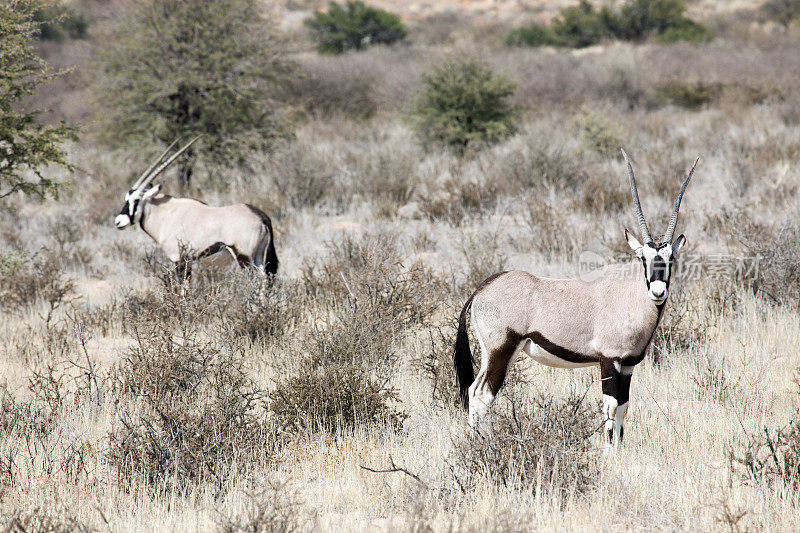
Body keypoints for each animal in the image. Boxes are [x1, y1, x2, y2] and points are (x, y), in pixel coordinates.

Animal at [113, 137, 278, 278]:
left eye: (137, 199)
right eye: (126, 198)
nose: (118, 221)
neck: (165, 214)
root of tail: (261, 217)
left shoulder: (179, 259)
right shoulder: (188, 261)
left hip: (244, 257)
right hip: (258, 256)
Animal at [456, 149, 700, 444]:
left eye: (670, 258)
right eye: (643, 257)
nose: (657, 292)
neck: (630, 296)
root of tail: (481, 289)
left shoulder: (627, 366)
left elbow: (623, 408)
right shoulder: (610, 360)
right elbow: (610, 407)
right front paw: (608, 452)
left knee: (473, 391)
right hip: (500, 351)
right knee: (482, 395)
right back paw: (483, 445)